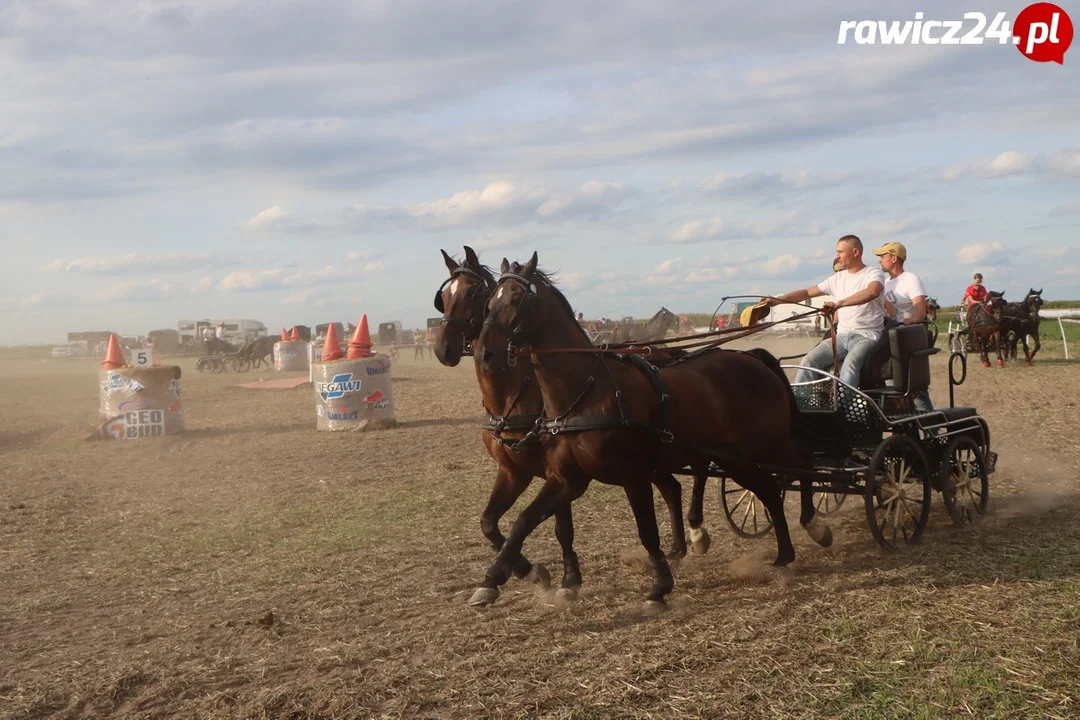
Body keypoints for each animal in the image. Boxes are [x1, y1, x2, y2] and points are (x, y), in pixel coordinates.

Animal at [429, 248, 682, 604]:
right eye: (445, 297)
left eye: (472, 293)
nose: (443, 349)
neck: (513, 395)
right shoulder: (515, 471)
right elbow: (489, 523)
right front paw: (529, 571)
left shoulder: (555, 472)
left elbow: (557, 526)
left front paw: (559, 577)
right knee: (671, 487)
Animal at [473, 253, 825, 608]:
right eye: (488, 303)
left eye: (517, 298)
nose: (484, 354)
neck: (586, 391)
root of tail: (753, 358)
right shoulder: (565, 478)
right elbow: (524, 521)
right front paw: (494, 580)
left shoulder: (633, 475)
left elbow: (646, 530)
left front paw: (660, 586)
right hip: (734, 459)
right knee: (768, 489)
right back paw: (783, 556)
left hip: (763, 447)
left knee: (798, 468)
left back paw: (810, 527)